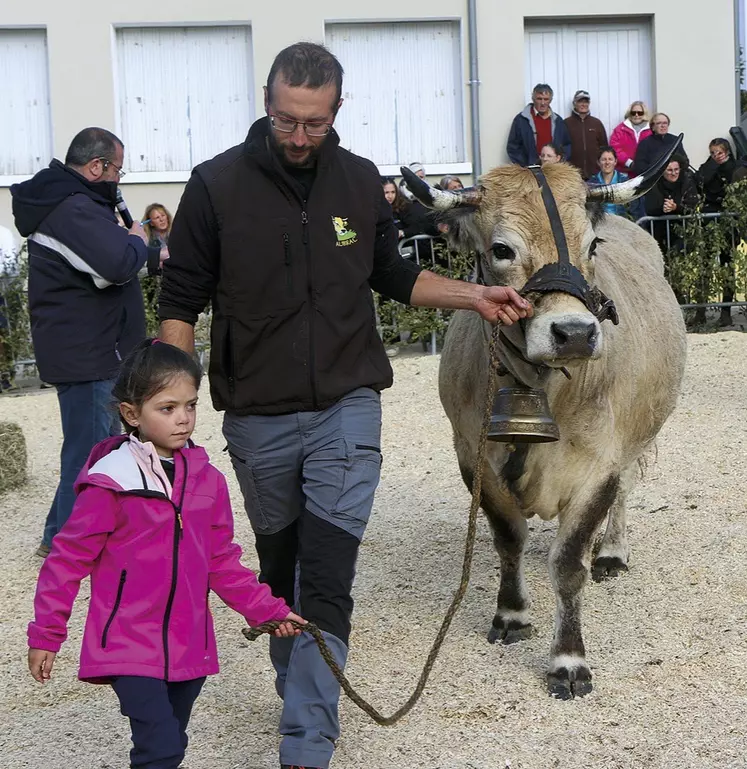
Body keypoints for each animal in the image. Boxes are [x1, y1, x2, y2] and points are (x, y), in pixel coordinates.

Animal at [404, 147, 688, 700]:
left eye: (591, 245)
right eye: (501, 250)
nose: (575, 333)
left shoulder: (600, 465)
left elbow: (569, 561)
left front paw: (569, 659)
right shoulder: (473, 456)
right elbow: (509, 538)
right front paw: (512, 615)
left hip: (639, 433)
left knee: (626, 492)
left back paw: (612, 551)